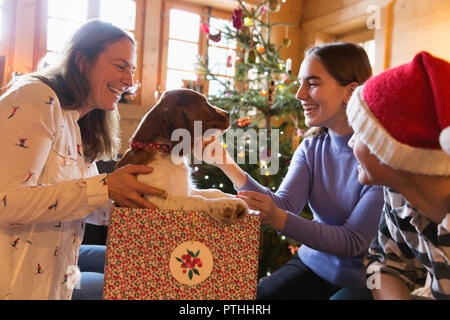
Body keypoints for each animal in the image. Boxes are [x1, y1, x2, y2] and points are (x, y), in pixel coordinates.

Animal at [116, 89, 248, 224]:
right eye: (203, 102)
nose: (229, 113)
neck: (163, 151)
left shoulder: (185, 190)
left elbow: (212, 191)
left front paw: (234, 197)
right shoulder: (153, 200)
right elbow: (197, 199)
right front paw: (226, 206)